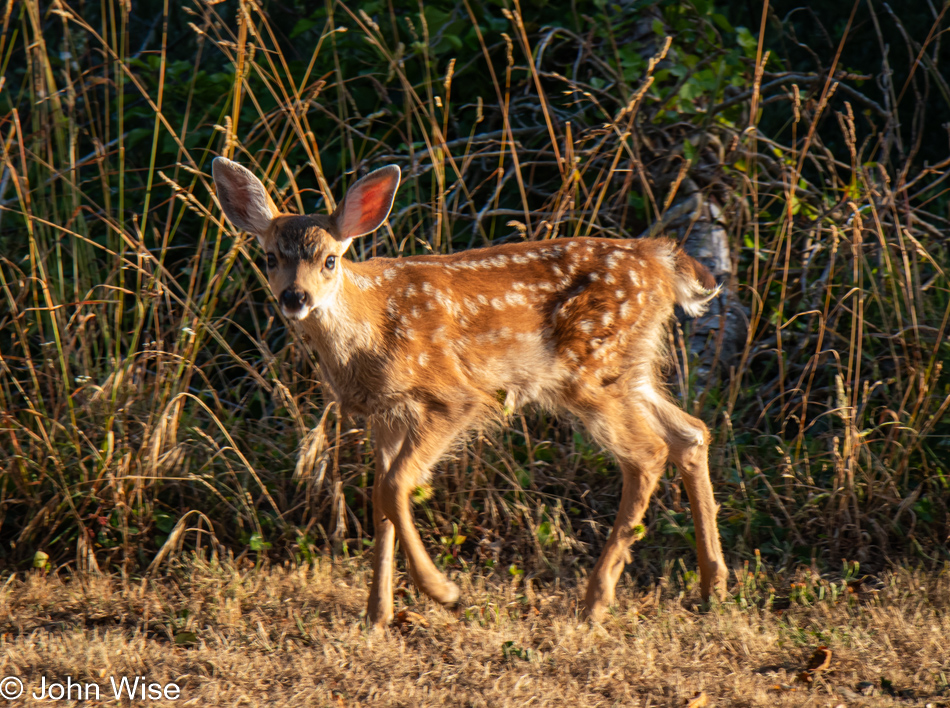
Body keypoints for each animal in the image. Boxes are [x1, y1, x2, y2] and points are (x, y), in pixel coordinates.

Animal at [210, 158, 728, 628]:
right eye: (270, 257)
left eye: (330, 260)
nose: (294, 298)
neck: (371, 328)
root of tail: (659, 259)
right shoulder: (385, 413)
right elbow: (379, 500)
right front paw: (377, 616)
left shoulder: (453, 395)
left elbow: (394, 486)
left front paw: (443, 591)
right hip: (628, 371)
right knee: (690, 434)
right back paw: (713, 587)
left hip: (591, 369)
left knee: (647, 453)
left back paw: (595, 603)